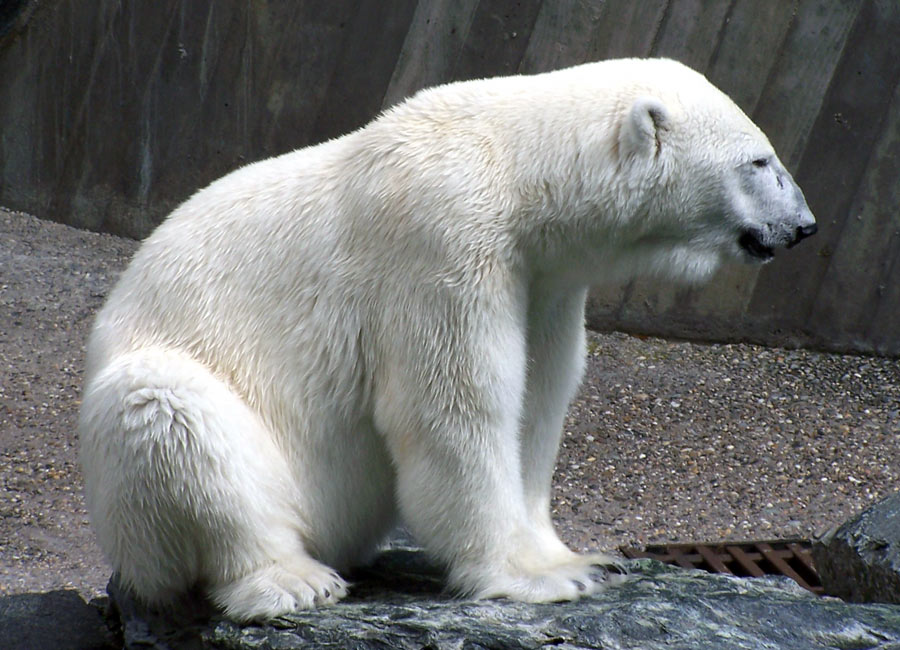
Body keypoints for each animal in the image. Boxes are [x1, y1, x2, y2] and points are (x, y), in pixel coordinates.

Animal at [81, 58, 820, 620]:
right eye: (760, 162)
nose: (805, 226)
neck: (517, 167)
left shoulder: (543, 279)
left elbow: (537, 400)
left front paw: (577, 557)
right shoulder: (442, 240)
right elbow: (455, 406)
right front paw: (537, 578)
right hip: (161, 469)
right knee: (168, 411)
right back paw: (291, 579)